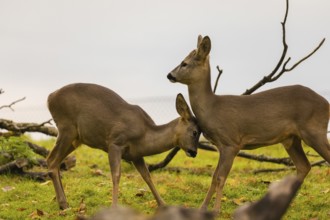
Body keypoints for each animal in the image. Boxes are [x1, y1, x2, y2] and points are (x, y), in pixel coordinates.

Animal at [47, 83, 201, 210]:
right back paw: (64, 204)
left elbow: (147, 176)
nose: (193, 152)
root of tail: (50, 98)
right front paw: (114, 207)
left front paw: (163, 204)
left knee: (53, 160)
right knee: (53, 161)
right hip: (66, 127)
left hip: (76, 138)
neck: (145, 135)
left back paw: (63, 202)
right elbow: (116, 175)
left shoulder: (136, 155)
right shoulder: (115, 142)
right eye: (194, 132)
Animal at [168, 35, 330, 213]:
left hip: (314, 130)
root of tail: (326, 103)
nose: (169, 75)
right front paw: (202, 208)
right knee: (304, 166)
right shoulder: (220, 146)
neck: (212, 108)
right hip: (291, 139)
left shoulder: (231, 142)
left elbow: (220, 177)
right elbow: (213, 176)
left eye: (184, 63)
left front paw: (216, 210)